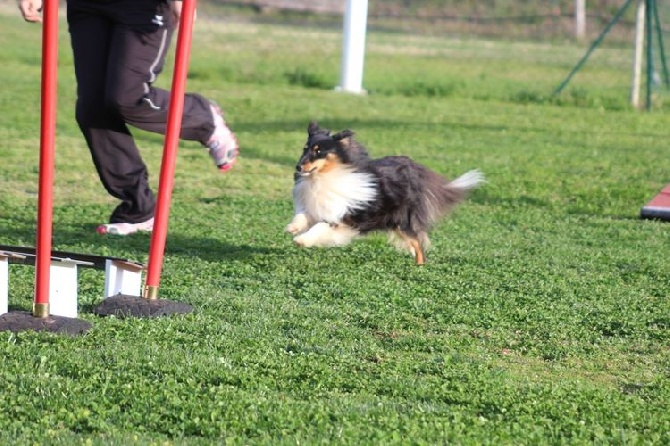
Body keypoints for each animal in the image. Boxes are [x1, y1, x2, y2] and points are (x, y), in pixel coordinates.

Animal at [286, 122, 486, 264]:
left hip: (403, 221)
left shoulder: (342, 216)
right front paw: (293, 227)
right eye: (305, 149)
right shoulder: (318, 206)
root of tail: (414, 168)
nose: (298, 167)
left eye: (318, 151)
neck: (323, 177)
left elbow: (320, 227)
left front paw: (301, 240)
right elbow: (304, 215)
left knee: (418, 244)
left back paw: (420, 266)